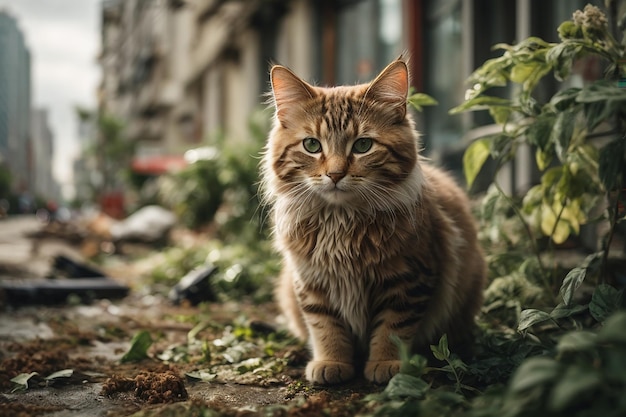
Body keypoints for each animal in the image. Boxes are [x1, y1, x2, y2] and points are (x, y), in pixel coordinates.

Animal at [260, 57, 486, 384]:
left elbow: (393, 328)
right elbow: (326, 327)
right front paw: (331, 362)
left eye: (363, 145)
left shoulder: (407, 281)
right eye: (312, 146)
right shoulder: (312, 282)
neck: (340, 224)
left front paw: (386, 365)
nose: (335, 174)